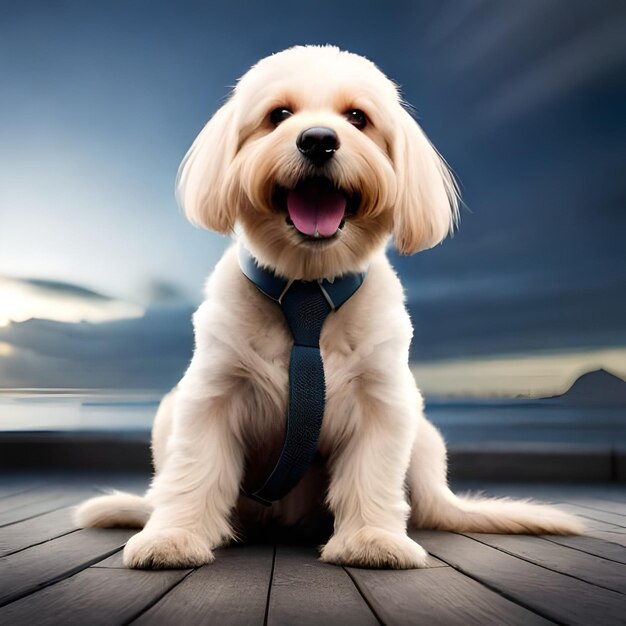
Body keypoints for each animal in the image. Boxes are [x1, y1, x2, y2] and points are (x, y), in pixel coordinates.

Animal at [75, 46, 584, 568]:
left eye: (358, 117)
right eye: (279, 114)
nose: (318, 140)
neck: (306, 291)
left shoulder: (381, 401)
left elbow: (372, 471)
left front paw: (371, 539)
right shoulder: (211, 394)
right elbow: (195, 469)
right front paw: (173, 536)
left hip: (423, 438)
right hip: (168, 413)